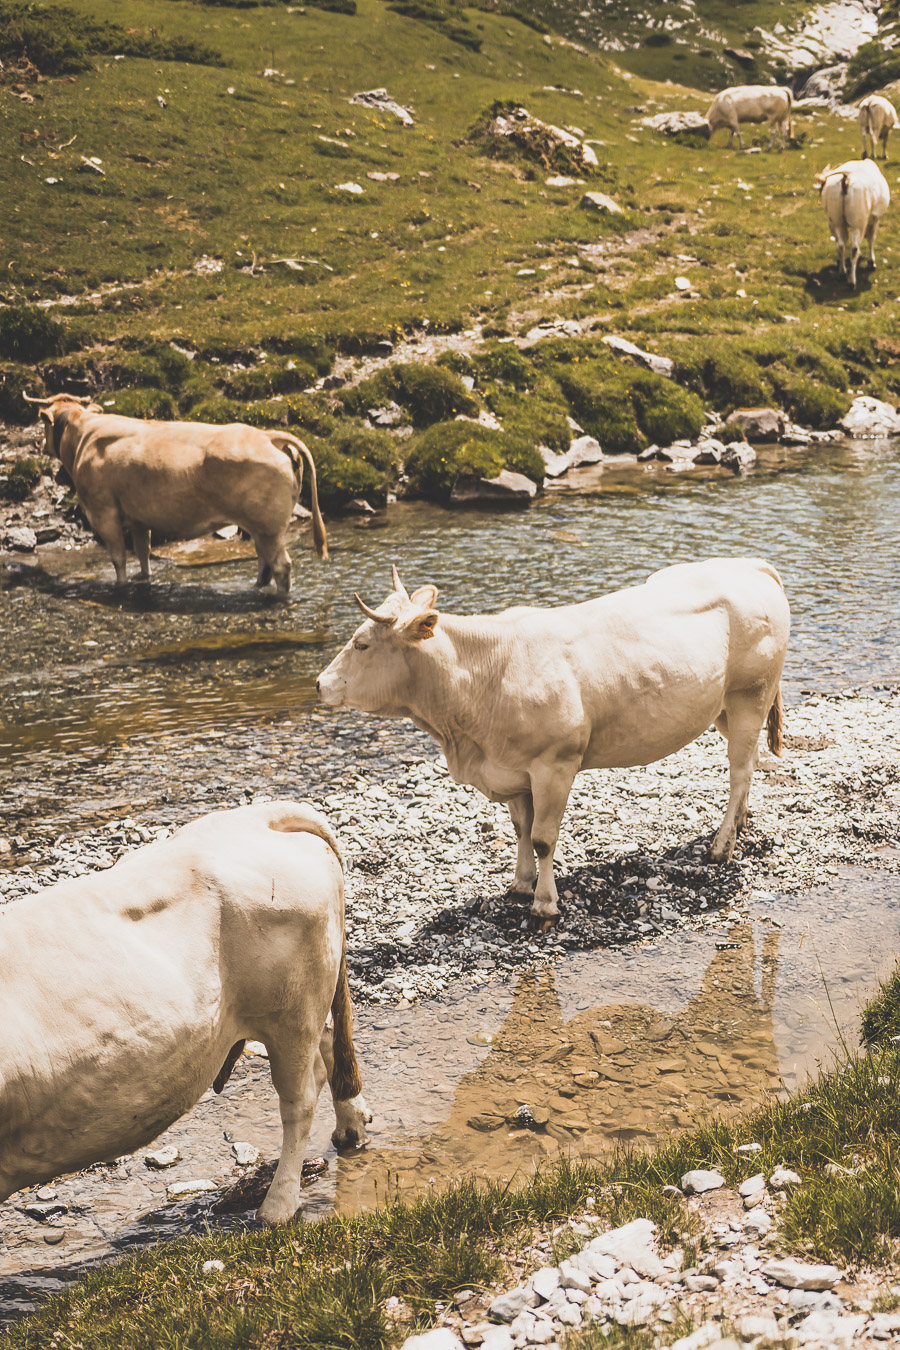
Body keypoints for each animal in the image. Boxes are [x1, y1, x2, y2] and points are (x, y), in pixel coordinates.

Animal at [0, 804, 369, 1231]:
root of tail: (260, 815)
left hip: (291, 1012)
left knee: (300, 1101)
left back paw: (277, 1208)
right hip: (305, 1001)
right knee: (329, 1046)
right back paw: (350, 1128)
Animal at [26, 394, 329, 596]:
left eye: (44, 425)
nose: (41, 445)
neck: (83, 436)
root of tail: (268, 436)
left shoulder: (103, 512)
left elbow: (118, 557)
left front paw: (120, 586)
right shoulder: (138, 517)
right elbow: (143, 552)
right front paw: (144, 579)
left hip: (268, 527)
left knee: (281, 566)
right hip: (261, 527)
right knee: (264, 564)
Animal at [317, 558, 788, 928]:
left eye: (361, 643)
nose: (320, 683)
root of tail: (750, 564)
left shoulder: (554, 765)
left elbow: (544, 838)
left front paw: (545, 904)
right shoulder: (512, 768)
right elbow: (521, 830)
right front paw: (520, 885)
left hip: (750, 697)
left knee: (739, 771)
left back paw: (721, 846)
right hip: (725, 707)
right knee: (747, 768)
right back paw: (738, 826)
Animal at [814, 159, 890, 288]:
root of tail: (846, 179)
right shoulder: (874, 219)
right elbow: (871, 238)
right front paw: (871, 262)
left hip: (837, 220)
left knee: (840, 244)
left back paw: (842, 272)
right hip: (858, 223)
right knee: (854, 248)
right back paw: (851, 281)